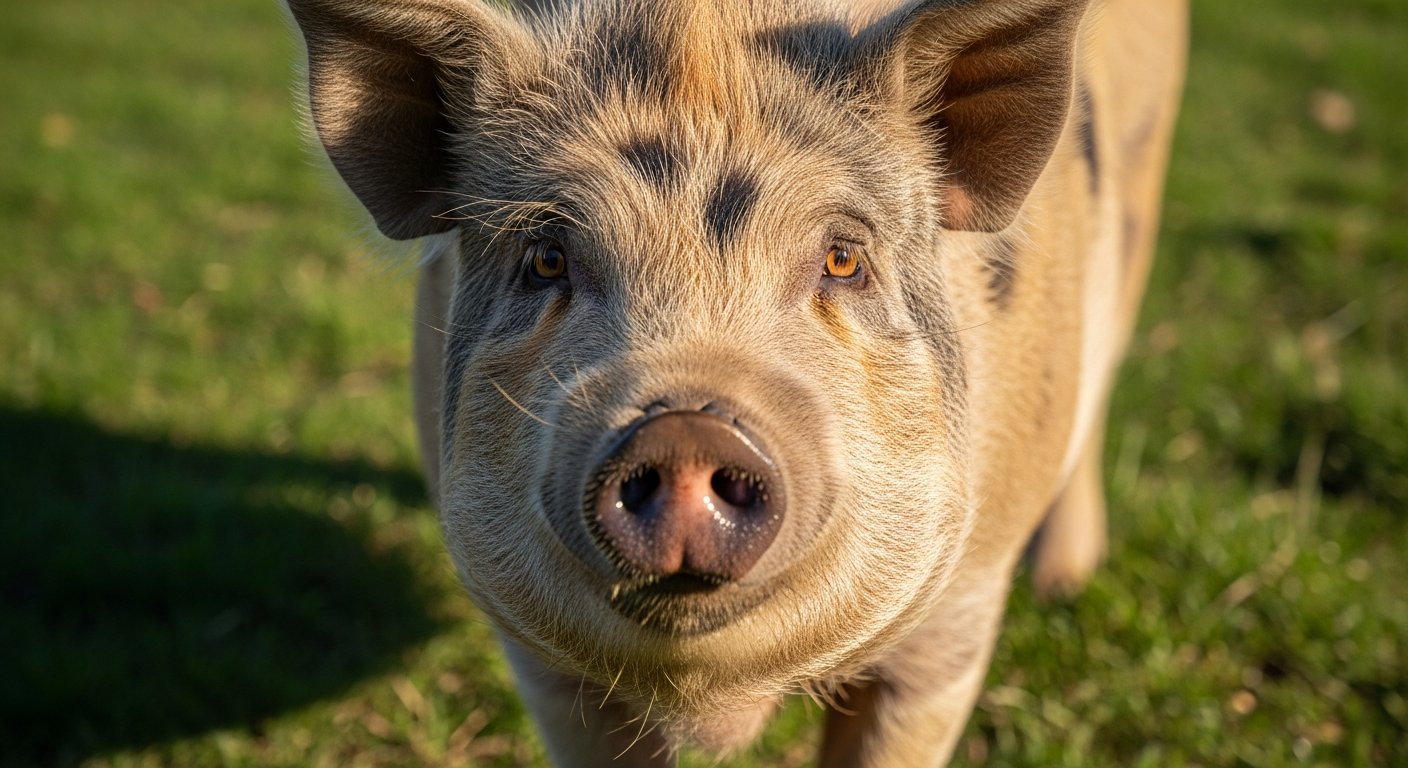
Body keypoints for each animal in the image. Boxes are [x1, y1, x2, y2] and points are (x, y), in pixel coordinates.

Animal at [283, 0, 1186, 763]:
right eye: (546, 259)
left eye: (843, 260)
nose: (685, 427)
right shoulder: (543, 666)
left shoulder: (955, 624)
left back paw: (1065, 581)